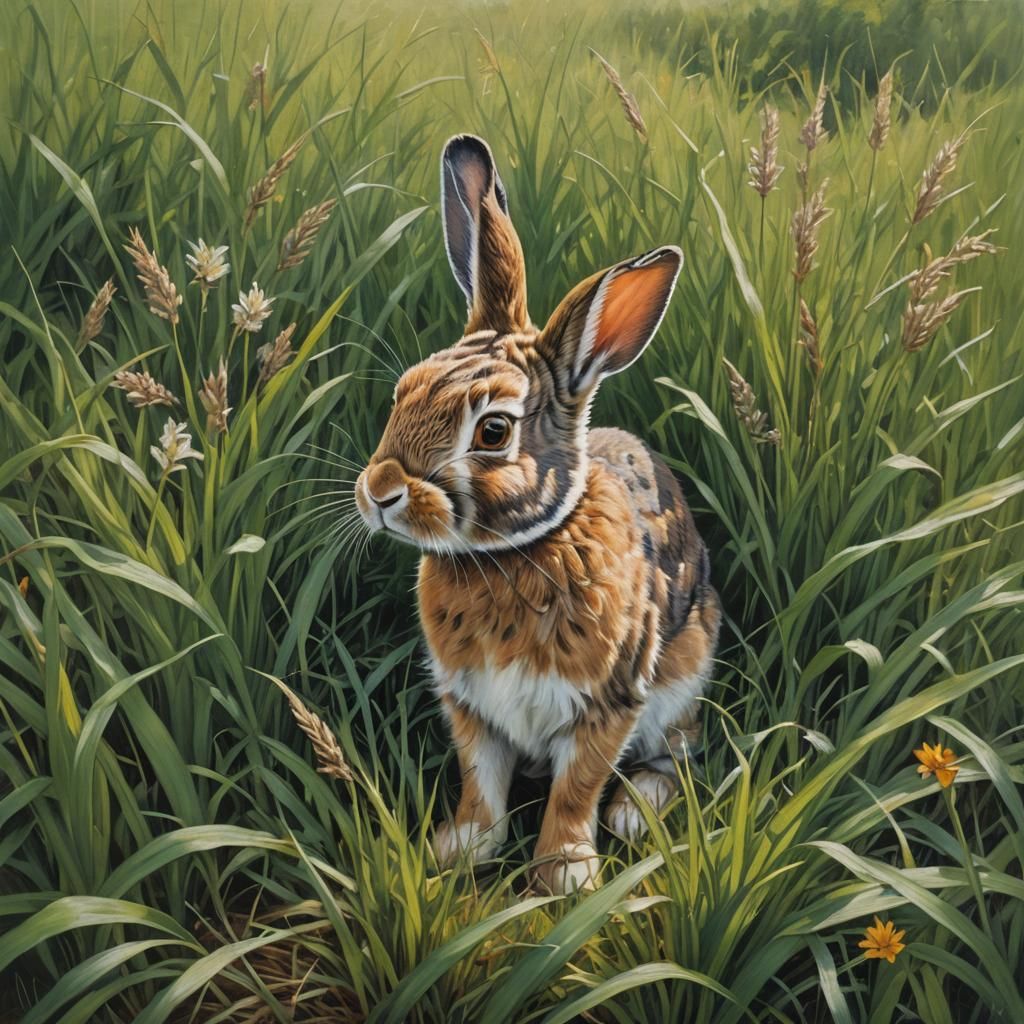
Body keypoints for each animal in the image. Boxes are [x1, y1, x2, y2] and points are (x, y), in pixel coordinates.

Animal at [354, 134, 720, 894]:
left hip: (685, 676)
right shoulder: (471, 706)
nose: (379, 491)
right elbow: (481, 783)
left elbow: (576, 788)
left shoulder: (610, 701)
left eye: (493, 432)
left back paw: (636, 811)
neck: (512, 552)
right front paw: (459, 848)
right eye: (404, 391)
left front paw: (565, 876)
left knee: (678, 749)